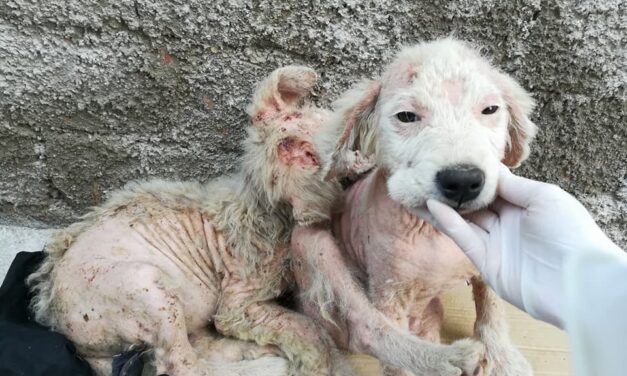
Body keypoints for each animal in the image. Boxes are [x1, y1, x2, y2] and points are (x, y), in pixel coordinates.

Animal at [28, 66, 354, 374]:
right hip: (144, 291)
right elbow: (305, 328)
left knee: (195, 348)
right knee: (180, 363)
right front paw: (316, 366)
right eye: (298, 148)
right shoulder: (239, 298)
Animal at [294, 39, 536, 376]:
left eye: (490, 110)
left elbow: (492, 306)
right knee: (366, 329)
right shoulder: (389, 294)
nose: (463, 180)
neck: (433, 232)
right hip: (312, 245)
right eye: (406, 116)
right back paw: (450, 359)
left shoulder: (488, 263)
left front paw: (503, 357)